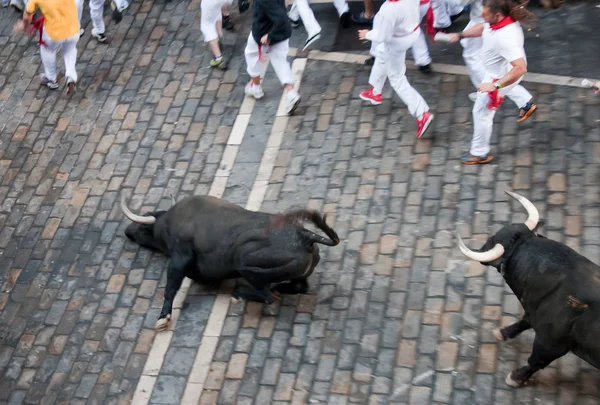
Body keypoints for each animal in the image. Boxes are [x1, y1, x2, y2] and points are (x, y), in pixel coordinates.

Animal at [120, 194, 342, 330]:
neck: (169, 223)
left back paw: (240, 294)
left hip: (246, 266)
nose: (127, 231)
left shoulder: (179, 258)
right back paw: (279, 289)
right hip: (297, 275)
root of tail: (306, 236)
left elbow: (170, 287)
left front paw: (162, 318)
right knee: (298, 287)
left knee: (266, 295)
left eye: (142, 227)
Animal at [458, 191, 596, 386]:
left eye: (491, 241)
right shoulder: (533, 312)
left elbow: (535, 361)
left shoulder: (550, 344)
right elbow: (525, 320)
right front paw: (503, 332)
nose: (481, 250)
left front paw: (516, 378)